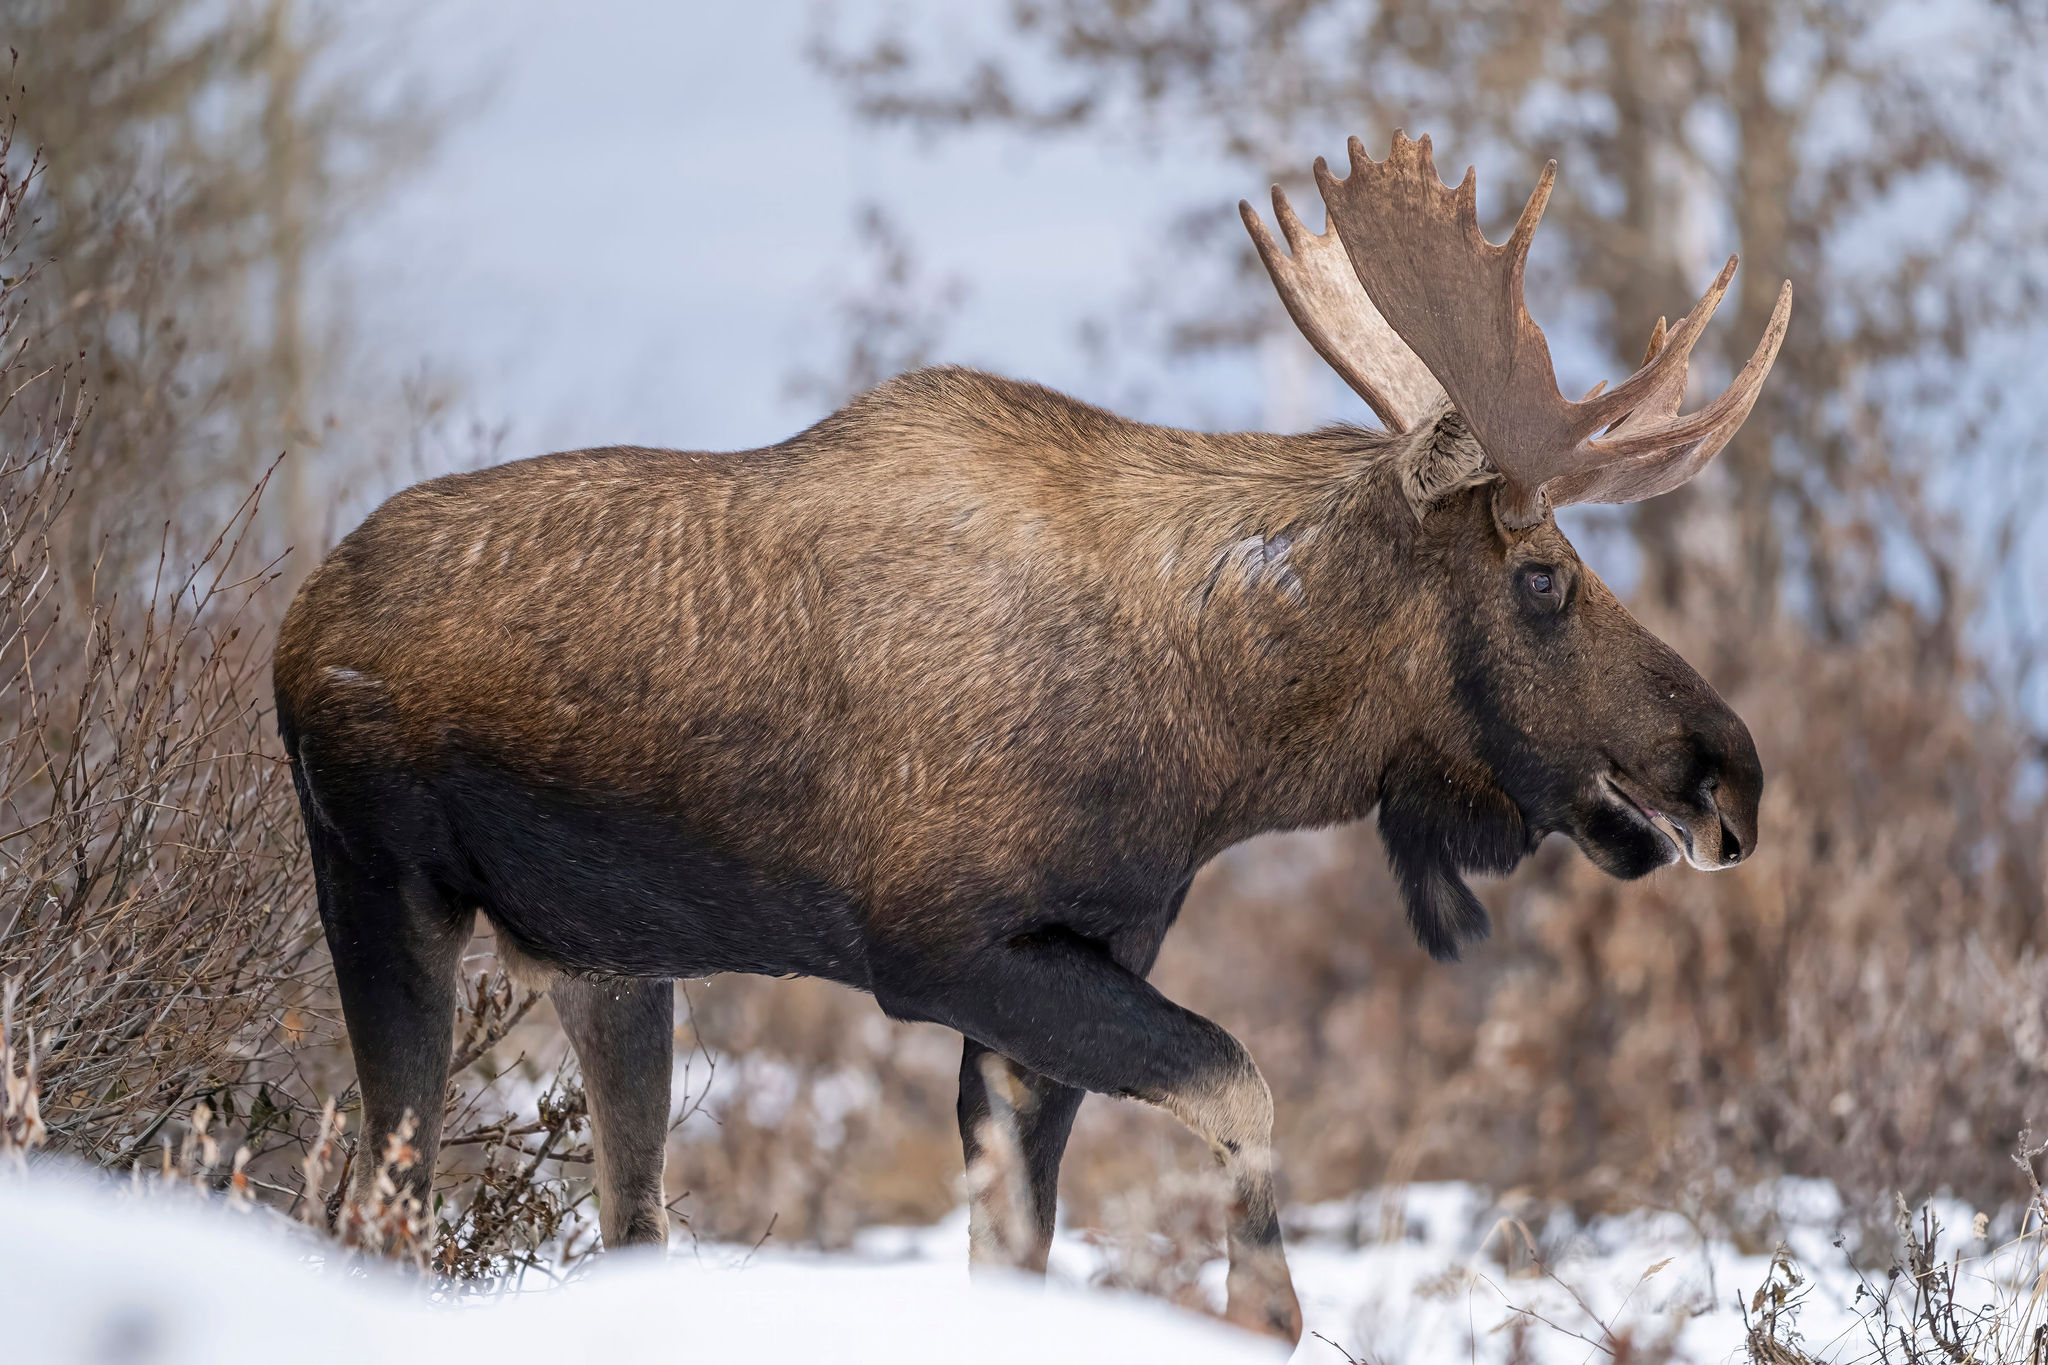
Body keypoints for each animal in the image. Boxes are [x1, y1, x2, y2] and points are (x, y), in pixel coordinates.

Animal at [280, 133, 1785, 1342]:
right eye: (1542, 579)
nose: (1732, 773)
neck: (1216, 745)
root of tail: (292, 621)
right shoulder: (947, 952)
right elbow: (1245, 1096)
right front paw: (1258, 1299)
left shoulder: (1076, 963)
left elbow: (1020, 1245)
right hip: (381, 888)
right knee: (374, 1204)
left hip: (610, 962)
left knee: (620, 1214)